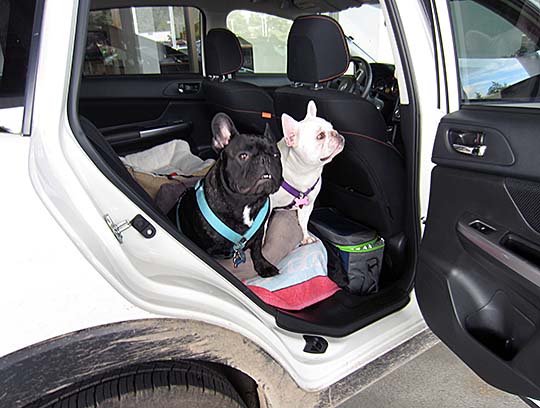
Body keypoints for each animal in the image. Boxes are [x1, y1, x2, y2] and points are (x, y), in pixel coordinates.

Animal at [172, 113, 282, 278]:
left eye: (275, 155)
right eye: (243, 156)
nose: (265, 158)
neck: (247, 201)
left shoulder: (259, 233)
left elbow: (257, 251)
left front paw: (263, 266)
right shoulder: (207, 250)